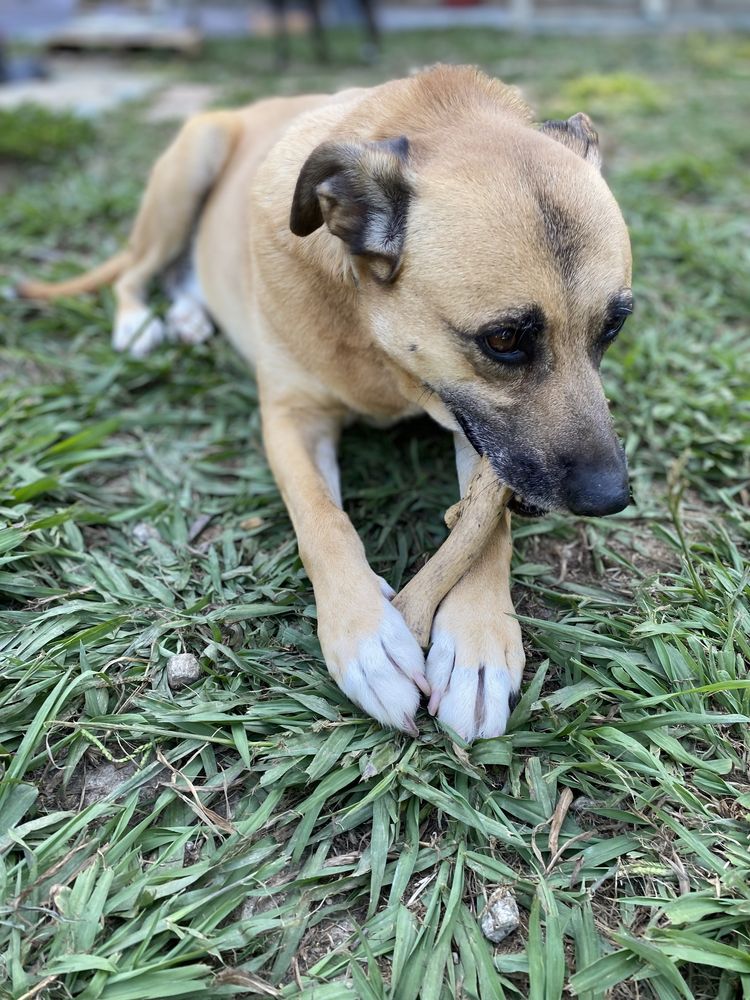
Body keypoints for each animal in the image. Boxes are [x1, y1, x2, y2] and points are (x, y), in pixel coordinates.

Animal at [20, 60, 636, 736]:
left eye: (613, 327)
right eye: (502, 340)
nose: (611, 497)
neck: (377, 347)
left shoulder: (475, 438)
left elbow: (487, 530)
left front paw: (477, 647)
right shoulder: (292, 419)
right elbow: (322, 520)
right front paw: (367, 637)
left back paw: (186, 316)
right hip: (187, 172)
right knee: (136, 272)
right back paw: (138, 324)